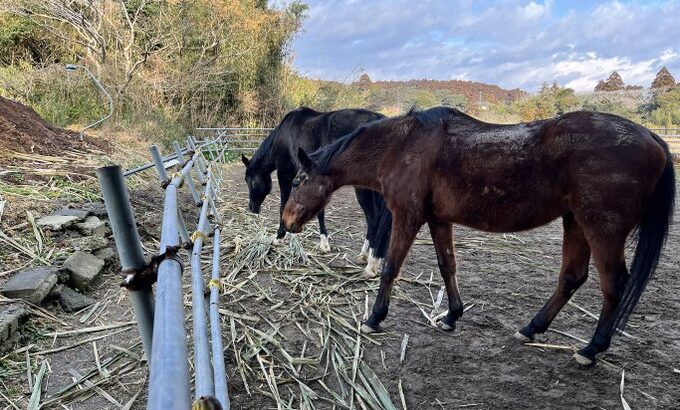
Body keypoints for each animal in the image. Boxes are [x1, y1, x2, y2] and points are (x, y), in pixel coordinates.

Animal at [282, 107, 676, 364]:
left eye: (299, 181)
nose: (286, 222)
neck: (403, 146)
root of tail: (652, 138)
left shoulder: (407, 217)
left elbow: (391, 268)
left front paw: (375, 318)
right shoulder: (437, 220)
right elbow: (447, 267)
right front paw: (451, 316)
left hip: (602, 230)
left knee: (614, 285)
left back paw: (591, 349)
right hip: (575, 223)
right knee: (571, 278)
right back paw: (532, 328)